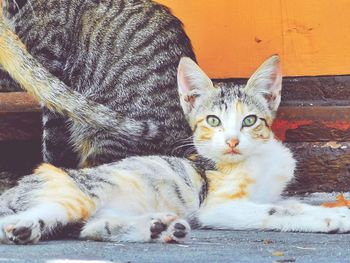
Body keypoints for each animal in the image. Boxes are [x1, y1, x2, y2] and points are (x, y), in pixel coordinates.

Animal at [0, 56, 350, 245]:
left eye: (250, 120)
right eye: (213, 120)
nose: (232, 141)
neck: (257, 158)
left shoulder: (269, 192)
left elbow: (287, 203)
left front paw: (333, 211)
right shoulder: (219, 206)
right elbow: (275, 211)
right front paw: (329, 218)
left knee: (91, 228)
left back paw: (159, 228)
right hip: (79, 194)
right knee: (29, 219)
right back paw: (26, 228)